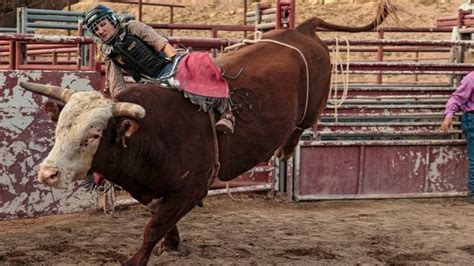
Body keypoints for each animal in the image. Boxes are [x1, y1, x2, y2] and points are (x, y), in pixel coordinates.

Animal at [18, 1, 396, 264]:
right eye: (59, 128)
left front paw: (139, 257)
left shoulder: (193, 186)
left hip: (315, 99)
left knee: (303, 124)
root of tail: (300, 29)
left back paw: (285, 151)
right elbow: (160, 219)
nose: (48, 173)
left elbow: (153, 227)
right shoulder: (152, 189)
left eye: (95, 134)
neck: (151, 135)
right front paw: (173, 244)